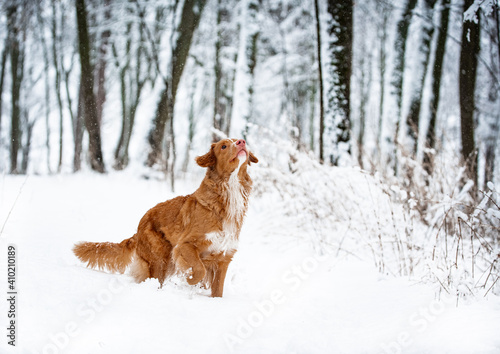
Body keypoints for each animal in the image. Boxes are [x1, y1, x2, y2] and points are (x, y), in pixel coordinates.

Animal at [73, 138, 258, 296]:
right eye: (224, 146)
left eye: (237, 140)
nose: (242, 141)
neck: (229, 192)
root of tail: (138, 228)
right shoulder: (185, 245)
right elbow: (200, 269)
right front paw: (190, 279)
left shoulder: (223, 258)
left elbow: (217, 289)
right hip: (159, 259)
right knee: (154, 278)